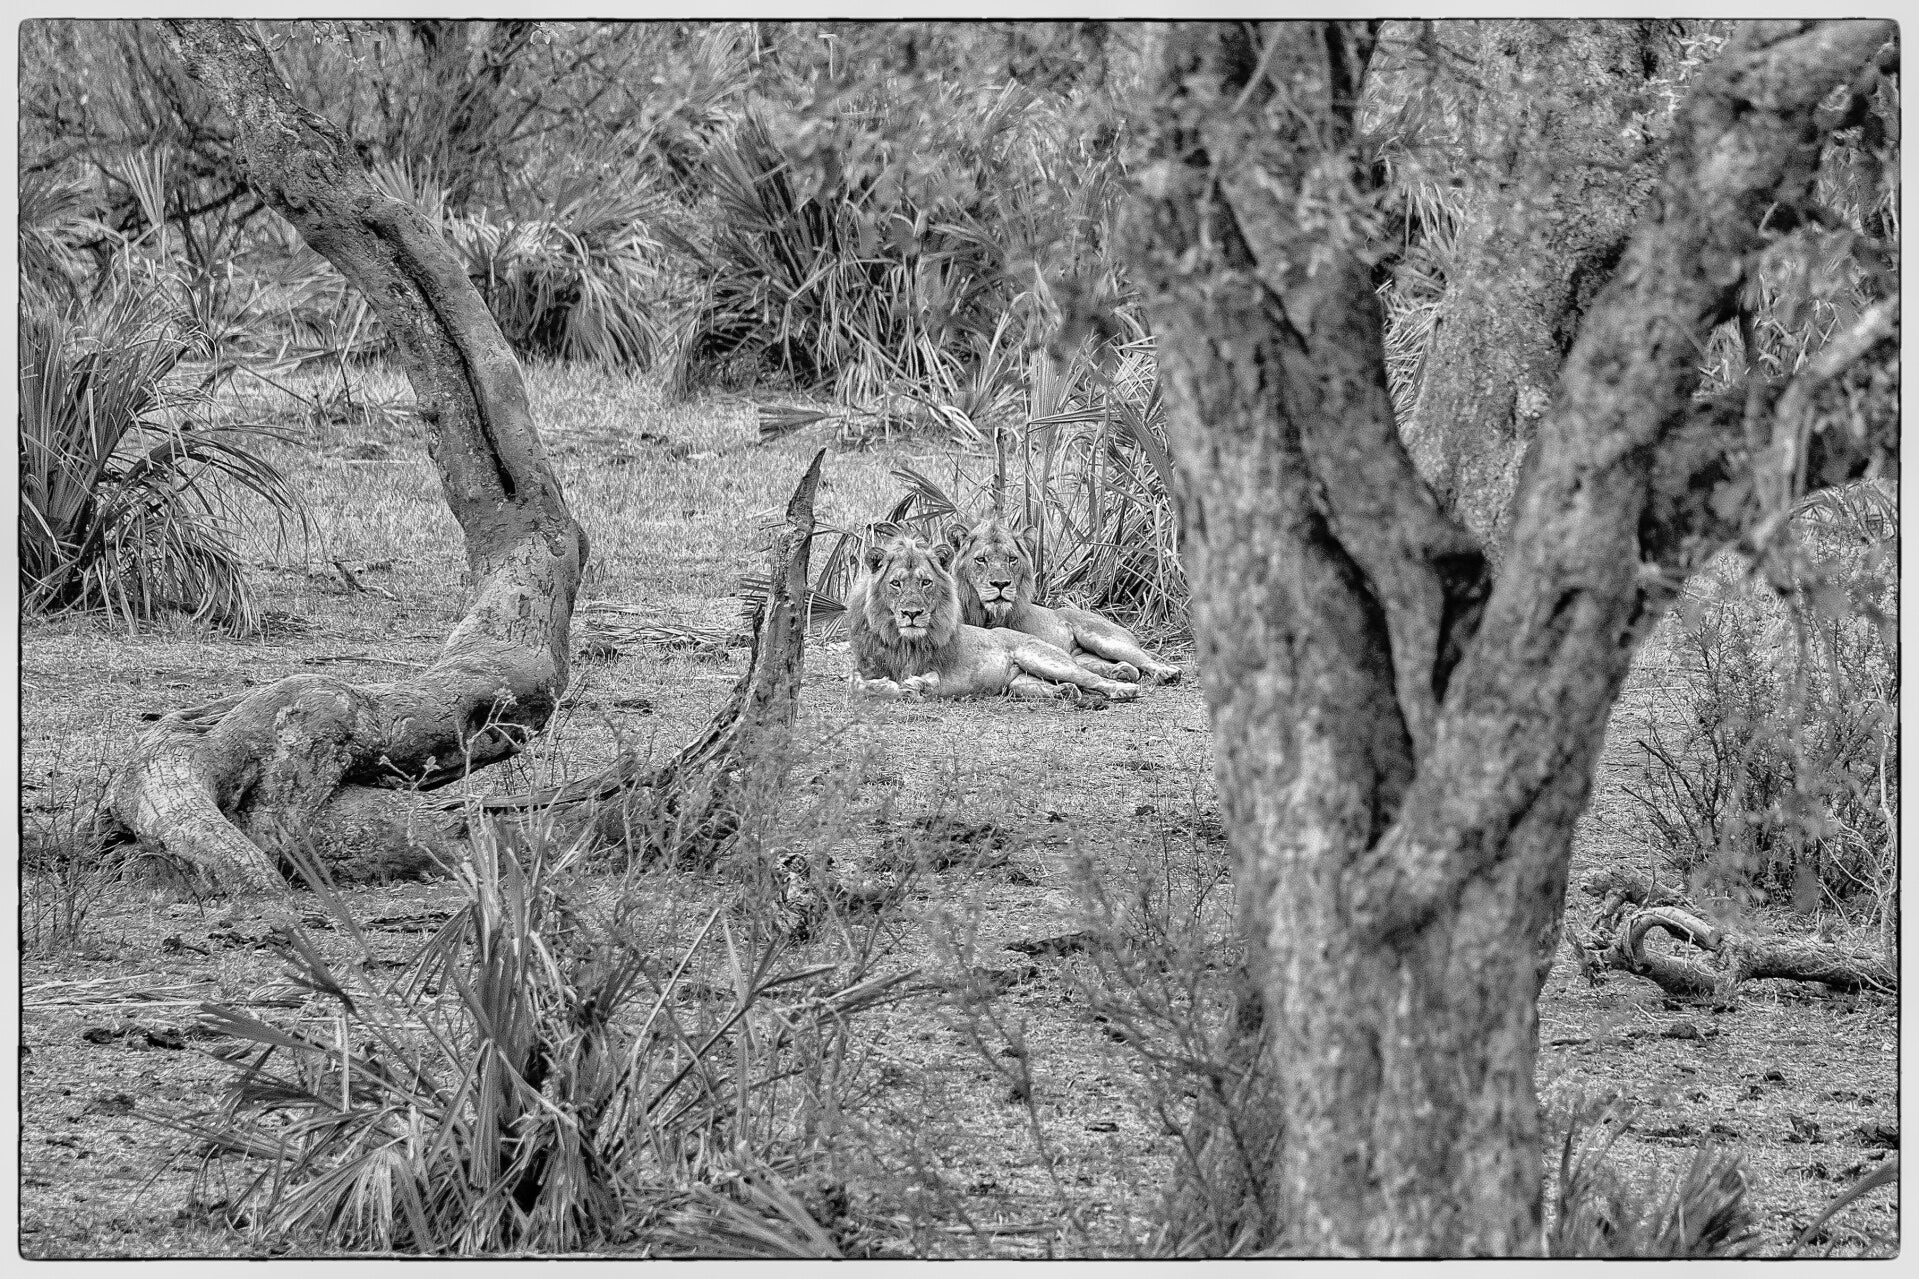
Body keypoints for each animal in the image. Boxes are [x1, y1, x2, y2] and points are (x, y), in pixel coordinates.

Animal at [846, 533, 1141, 702]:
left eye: (925, 582)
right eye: (895, 584)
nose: (912, 613)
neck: (900, 639)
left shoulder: (939, 674)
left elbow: (925, 681)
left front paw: (913, 685)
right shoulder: (863, 669)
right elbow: (858, 685)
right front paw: (889, 687)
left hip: (1045, 659)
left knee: (1091, 678)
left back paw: (1124, 689)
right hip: (1019, 682)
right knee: (1052, 686)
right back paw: (1065, 692)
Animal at [944, 516, 1182, 685]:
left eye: (1012, 559)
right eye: (980, 560)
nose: (1001, 584)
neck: (985, 613)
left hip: (1107, 641)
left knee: (1144, 659)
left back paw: (1166, 672)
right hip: (1082, 656)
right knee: (1115, 666)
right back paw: (1120, 671)